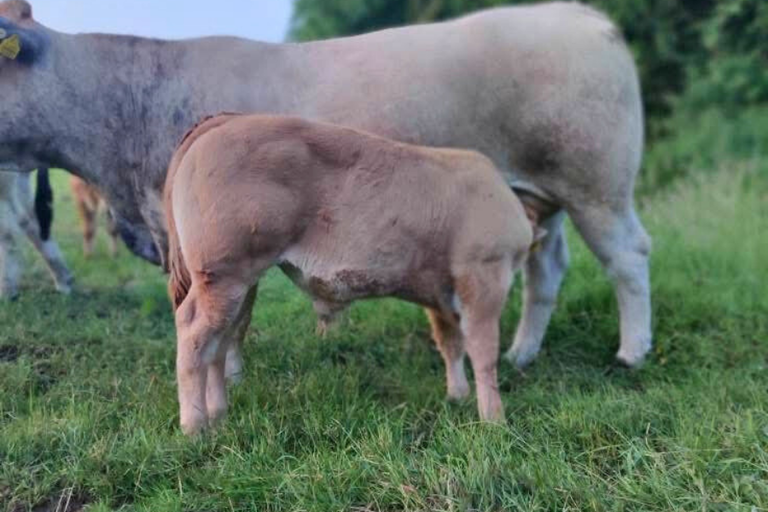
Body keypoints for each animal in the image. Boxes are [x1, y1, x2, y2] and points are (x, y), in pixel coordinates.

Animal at [165, 114, 540, 434]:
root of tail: (226, 120)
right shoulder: (485, 275)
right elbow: (483, 351)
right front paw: (494, 420)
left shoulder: (439, 290)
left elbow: (451, 343)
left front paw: (457, 395)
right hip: (223, 274)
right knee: (194, 334)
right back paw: (194, 426)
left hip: (238, 283)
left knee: (219, 341)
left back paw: (218, 414)